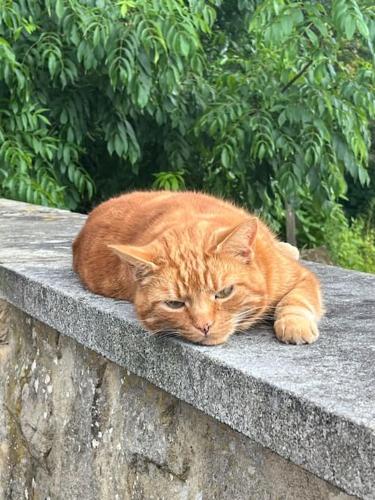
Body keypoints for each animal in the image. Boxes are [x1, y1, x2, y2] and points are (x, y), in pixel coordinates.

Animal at [73, 189, 324, 346]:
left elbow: (296, 300)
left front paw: (295, 324)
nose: (205, 326)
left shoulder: (300, 276)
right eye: (174, 304)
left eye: (224, 293)